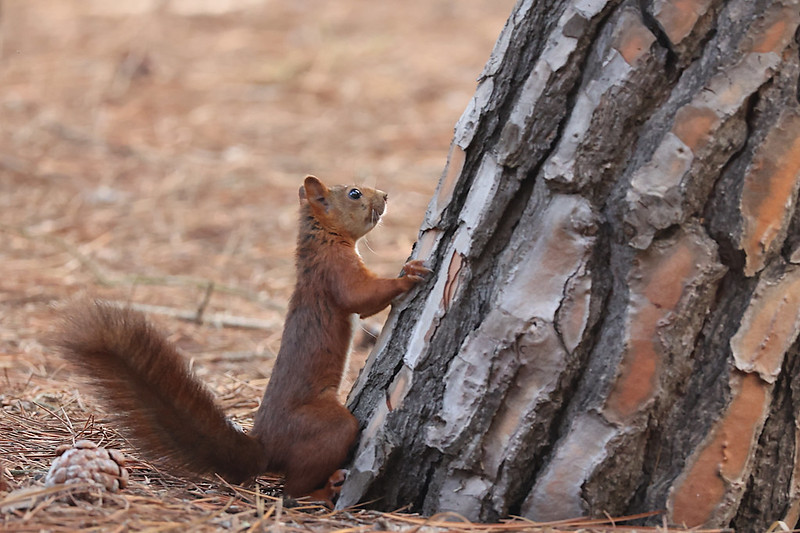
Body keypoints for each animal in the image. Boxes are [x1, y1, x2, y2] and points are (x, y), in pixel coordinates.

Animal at [56, 177, 432, 500]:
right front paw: (408, 275)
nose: (385, 195)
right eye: (354, 193)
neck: (323, 238)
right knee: (293, 489)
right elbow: (362, 296)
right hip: (326, 427)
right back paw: (322, 491)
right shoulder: (334, 270)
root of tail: (266, 449)